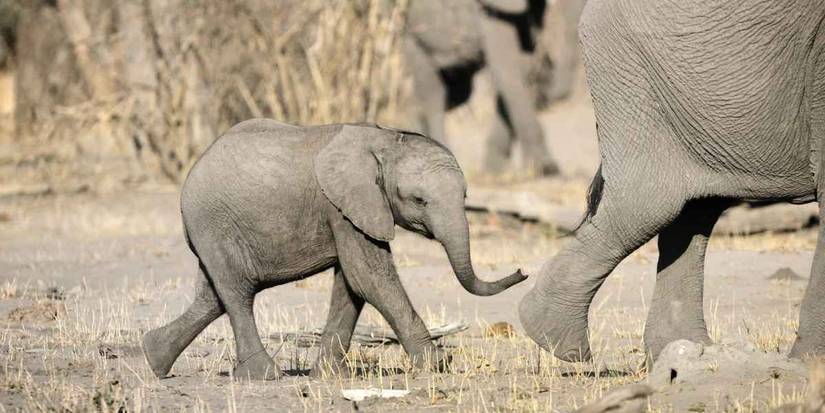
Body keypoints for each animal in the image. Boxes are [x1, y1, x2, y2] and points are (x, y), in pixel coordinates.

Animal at [141, 119, 528, 380]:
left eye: (464, 197)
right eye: (418, 200)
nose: (523, 271)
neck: (387, 140)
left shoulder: (352, 210)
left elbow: (351, 283)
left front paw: (328, 376)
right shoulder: (344, 206)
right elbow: (368, 277)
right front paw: (436, 365)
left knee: (213, 296)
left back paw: (153, 357)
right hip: (214, 223)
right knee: (237, 293)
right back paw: (264, 375)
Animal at [404, 0, 586, 176]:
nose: (548, 94)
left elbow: (523, 67)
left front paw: (498, 169)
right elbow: (508, 66)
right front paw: (546, 168)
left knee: (456, 94)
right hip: (413, 35)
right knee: (432, 92)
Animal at [518, 0, 825, 362]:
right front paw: (809, 364)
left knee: (695, 208)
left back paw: (688, 351)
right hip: (633, 74)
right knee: (649, 205)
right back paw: (563, 343)